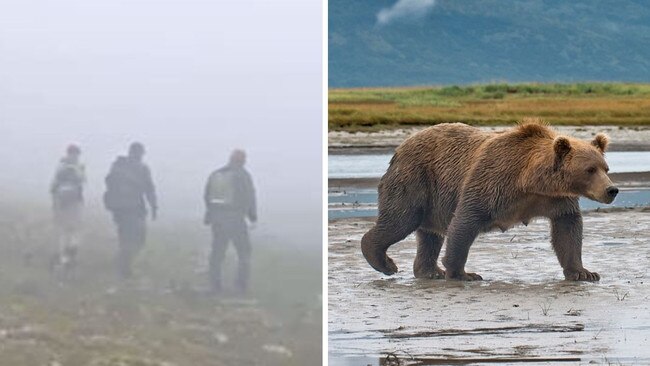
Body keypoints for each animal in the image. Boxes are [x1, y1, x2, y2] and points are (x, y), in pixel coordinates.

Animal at [362, 119, 616, 280]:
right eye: (590, 169)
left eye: (606, 167)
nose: (612, 190)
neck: (531, 182)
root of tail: (400, 148)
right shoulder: (493, 181)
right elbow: (465, 220)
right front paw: (463, 273)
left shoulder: (557, 201)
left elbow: (567, 230)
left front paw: (584, 272)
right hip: (416, 180)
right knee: (400, 220)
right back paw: (385, 262)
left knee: (430, 235)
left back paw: (430, 272)